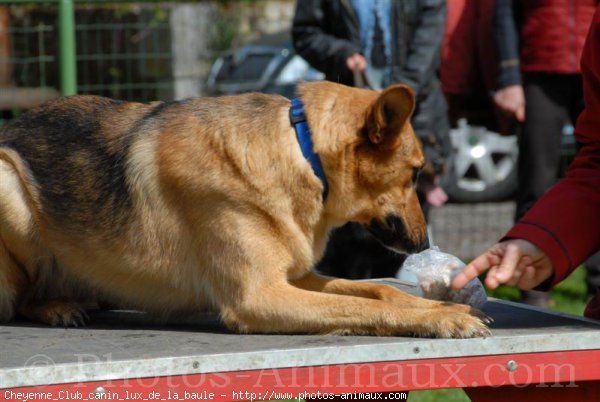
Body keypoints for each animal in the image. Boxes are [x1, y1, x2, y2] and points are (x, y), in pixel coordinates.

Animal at [0, 81, 490, 336]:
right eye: (415, 173)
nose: (424, 244)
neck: (302, 152)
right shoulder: (260, 297)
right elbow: (364, 307)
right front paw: (443, 319)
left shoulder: (296, 277)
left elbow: (381, 293)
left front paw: (441, 308)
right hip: (10, 187)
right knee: (17, 301)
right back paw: (55, 308)